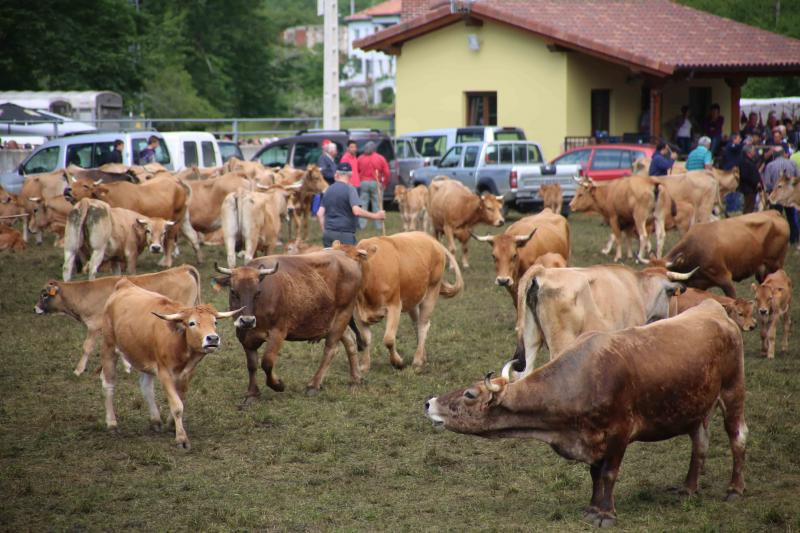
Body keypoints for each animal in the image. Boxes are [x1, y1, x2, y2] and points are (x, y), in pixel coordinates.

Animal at [36, 264, 202, 374]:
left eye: (44, 294)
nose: (35, 308)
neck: (86, 292)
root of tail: (182, 268)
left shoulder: (94, 326)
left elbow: (87, 347)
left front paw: (79, 370)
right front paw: (127, 367)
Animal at [99, 278, 241, 448]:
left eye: (215, 322)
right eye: (192, 323)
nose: (212, 338)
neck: (179, 341)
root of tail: (123, 284)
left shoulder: (187, 373)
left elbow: (181, 398)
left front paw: (171, 424)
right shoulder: (164, 372)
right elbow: (177, 405)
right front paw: (181, 438)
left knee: (146, 386)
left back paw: (155, 421)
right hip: (108, 348)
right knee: (108, 384)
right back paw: (112, 424)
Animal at [334, 231, 466, 372]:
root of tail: (430, 238)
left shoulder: (394, 306)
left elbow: (389, 339)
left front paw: (397, 362)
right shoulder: (358, 312)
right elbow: (365, 339)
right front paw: (364, 365)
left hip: (431, 292)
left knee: (423, 326)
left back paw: (418, 360)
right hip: (413, 299)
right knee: (416, 324)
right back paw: (423, 355)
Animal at [428, 300, 748, 528]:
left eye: (470, 394)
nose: (429, 402)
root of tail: (714, 307)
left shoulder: (620, 432)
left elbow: (608, 473)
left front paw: (606, 514)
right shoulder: (591, 437)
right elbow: (595, 474)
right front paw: (593, 508)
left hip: (732, 391)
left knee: (738, 437)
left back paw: (735, 489)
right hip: (697, 407)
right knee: (700, 443)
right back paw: (689, 488)